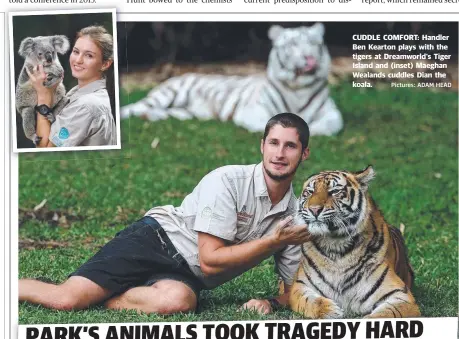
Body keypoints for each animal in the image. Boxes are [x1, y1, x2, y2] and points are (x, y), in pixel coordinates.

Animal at [120, 22, 344, 137]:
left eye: (314, 43)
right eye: (293, 44)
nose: (309, 58)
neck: (299, 87)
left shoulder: (333, 113)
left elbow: (329, 125)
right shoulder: (253, 110)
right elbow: (265, 123)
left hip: (184, 111)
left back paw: (152, 117)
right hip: (167, 95)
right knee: (132, 108)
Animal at [290, 166, 422, 320]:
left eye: (334, 192)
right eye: (309, 192)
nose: (314, 209)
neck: (335, 245)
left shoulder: (401, 295)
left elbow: (385, 314)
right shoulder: (299, 286)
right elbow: (312, 302)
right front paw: (331, 311)